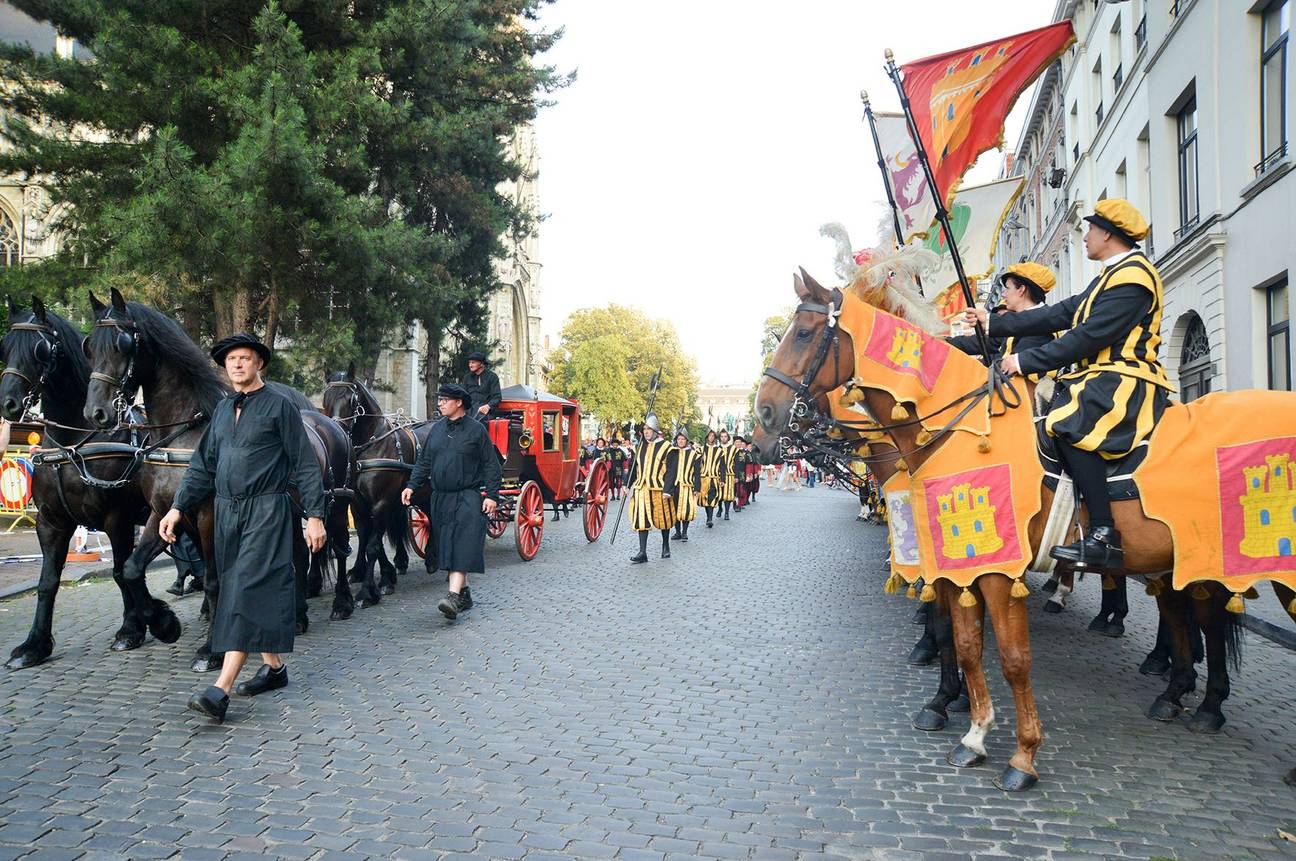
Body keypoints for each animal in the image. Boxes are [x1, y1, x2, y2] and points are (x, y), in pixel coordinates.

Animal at [1, 295, 182, 663]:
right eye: (5, 346)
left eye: (39, 349)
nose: (8, 402)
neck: (75, 442)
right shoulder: (51, 522)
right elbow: (47, 582)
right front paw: (34, 644)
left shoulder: (117, 518)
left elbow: (120, 572)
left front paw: (133, 629)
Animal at [756, 269, 1290, 793]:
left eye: (803, 333)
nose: (762, 419)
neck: (957, 433)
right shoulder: (954, 565)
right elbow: (966, 645)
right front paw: (969, 729)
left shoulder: (994, 570)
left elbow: (1010, 658)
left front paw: (1020, 754)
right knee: (1184, 612)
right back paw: (1180, 694)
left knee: (1202, 618)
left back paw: (1199, 699)